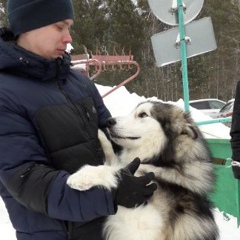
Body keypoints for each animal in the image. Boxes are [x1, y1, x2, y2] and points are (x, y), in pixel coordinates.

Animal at [67, 101, 219, 240]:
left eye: (143, 115)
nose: (108, 121)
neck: (163, 166)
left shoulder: (139, 227)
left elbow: (116, 169)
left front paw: (84, 175)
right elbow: (117, 162)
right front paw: (101, 136)